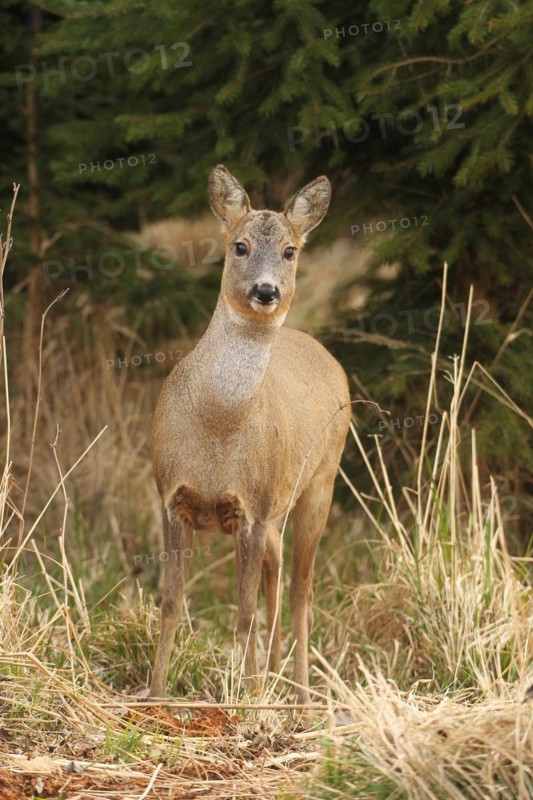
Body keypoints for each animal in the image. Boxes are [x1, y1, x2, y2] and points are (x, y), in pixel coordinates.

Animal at [149, 165, 351, 705]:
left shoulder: (252, 510)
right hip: (279, 509)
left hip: (319, 484)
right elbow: (171, 604)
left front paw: (243, 700)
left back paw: (299, 696)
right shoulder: (171, 494)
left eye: (290, 251)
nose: (266, 291)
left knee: (301, 591)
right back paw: (275, 677)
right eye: (239, 245)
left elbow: (242, 617)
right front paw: (153, 694)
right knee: (276, 580)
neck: (218, 430)